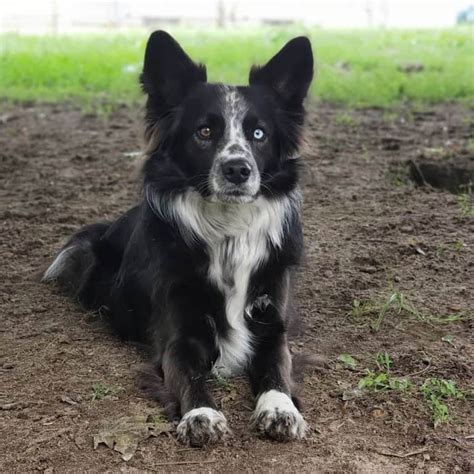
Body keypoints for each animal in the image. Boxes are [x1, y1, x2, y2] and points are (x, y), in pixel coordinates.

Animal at [42, 29, 312, 444]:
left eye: (259, 134)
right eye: (205, 131)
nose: (238, 169)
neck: (228, 234)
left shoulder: (273, 328)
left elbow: (276, 370)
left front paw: (280, 409)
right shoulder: (178, 336)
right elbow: (188, 375)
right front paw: (201, 414)